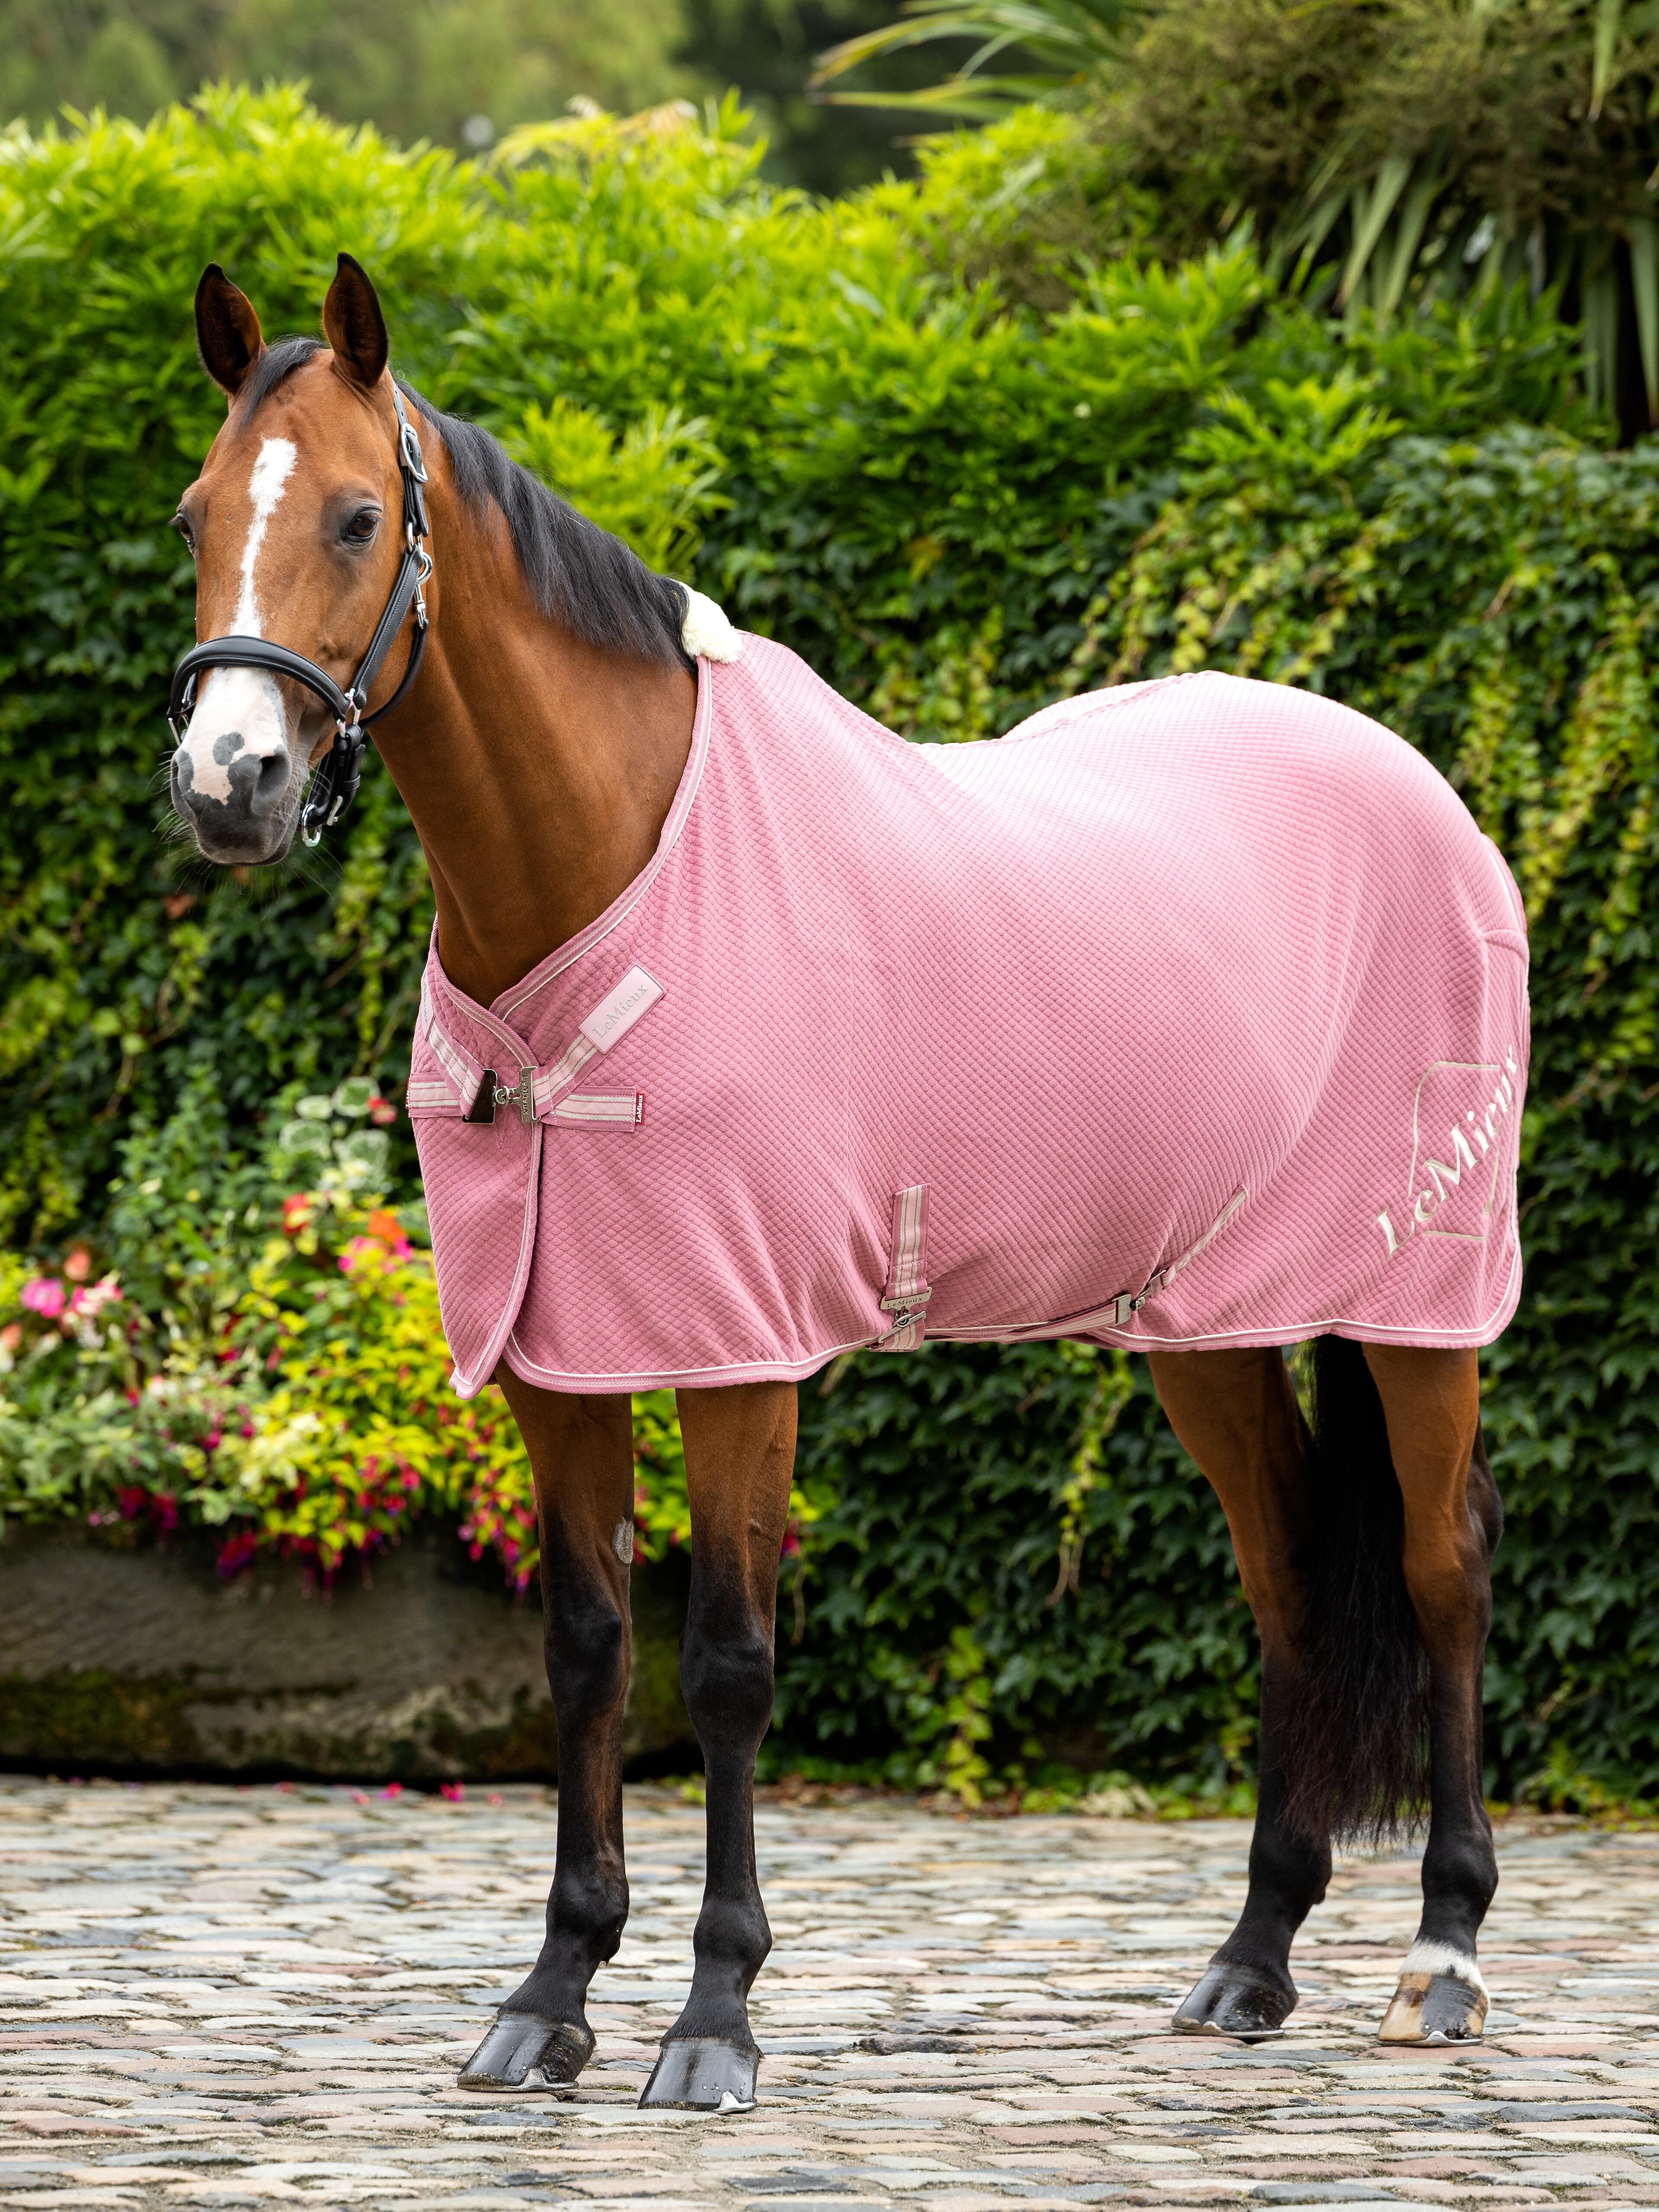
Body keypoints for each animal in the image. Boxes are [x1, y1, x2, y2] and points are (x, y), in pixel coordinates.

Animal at [165, 253, 1523, 2108]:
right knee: (1294, 1581)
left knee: (1442, 1566)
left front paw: (711, 2018)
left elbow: (728, 1663)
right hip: (1207, 1329)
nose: (227, 786)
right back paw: (1250, 1957)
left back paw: (1441, 1954)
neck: (615, 867)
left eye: (361, 517)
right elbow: (585, 1645)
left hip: (1415, 1300)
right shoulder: (556, 1358)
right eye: (193, 515)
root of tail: (1426, 795)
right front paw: (551, 1993)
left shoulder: (744, 1349)